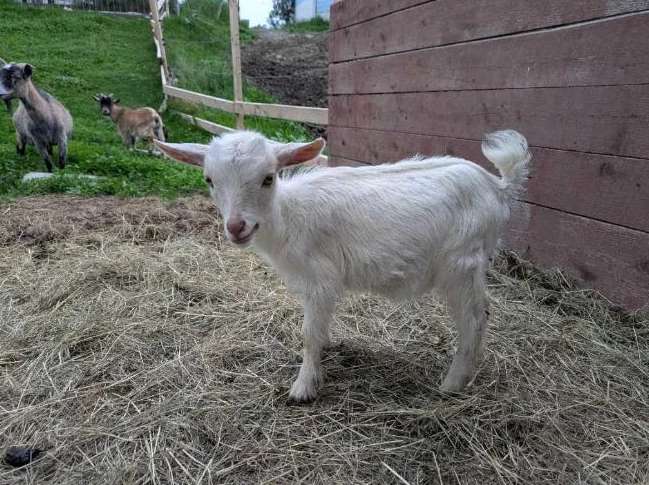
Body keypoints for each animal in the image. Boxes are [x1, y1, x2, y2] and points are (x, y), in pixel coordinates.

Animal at [155, 129, 531, 403]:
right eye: (209, 180)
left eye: (268, 178)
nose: (236, 227)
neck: (289, 217)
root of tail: (498, 186)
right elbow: (319, 328)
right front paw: (328, 348)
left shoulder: (321, 276)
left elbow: (307, 334)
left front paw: (303, 387)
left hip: (462, 263)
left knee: (474, 318)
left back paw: (452, 383)